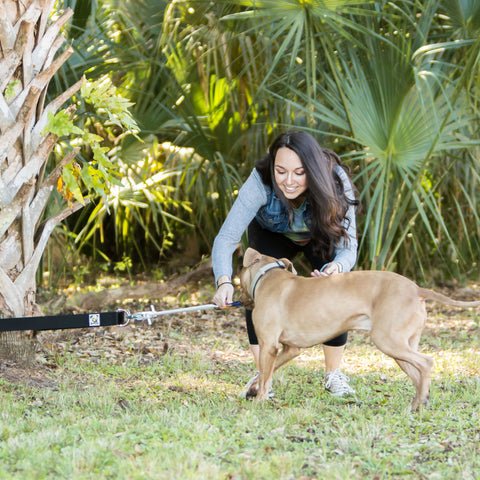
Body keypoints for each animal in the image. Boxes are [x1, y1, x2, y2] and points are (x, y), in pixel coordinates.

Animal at [242, 248, 480, 408]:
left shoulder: (268, 345)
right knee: (417, 372)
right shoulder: (290, 349)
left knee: (426, 362)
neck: (268, 277)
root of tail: (417, 289)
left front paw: (259, 401)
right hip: (402, 346)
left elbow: (265, 374)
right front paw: (254, 389)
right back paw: (418, 403)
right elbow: (265, 373)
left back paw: (418, 402)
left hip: (388, 340)